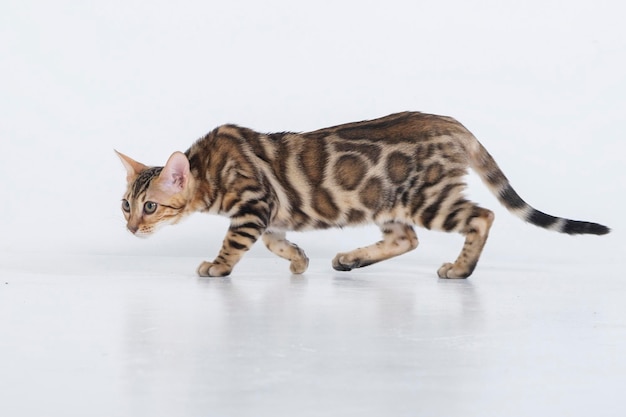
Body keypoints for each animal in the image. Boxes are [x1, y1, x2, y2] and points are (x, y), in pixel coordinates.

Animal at [114, 112, 608, 278]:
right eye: (125, 205)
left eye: (150, 206)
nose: (131, 228)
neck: (207, 167)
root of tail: (453, 123)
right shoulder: (269, 214)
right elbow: (277, 242)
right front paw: (299, 261)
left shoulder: (254, 205)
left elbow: (234, 243)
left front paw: (217, 267)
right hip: (388, 203)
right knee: (406, 238)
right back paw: (350, 260)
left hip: (429, 197)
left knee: (481, 217)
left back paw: (460, 270)